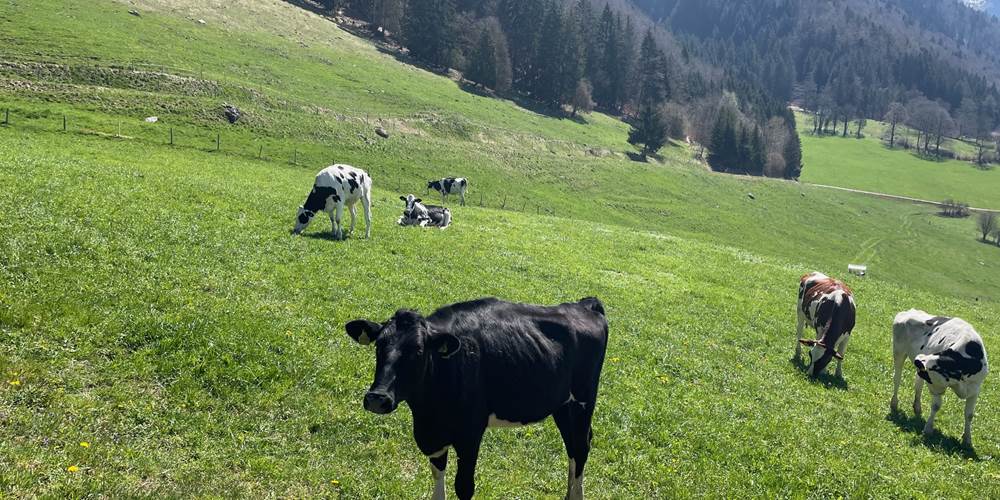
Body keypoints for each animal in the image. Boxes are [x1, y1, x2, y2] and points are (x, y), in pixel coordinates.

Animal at [345, 297, 609, 500]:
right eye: (379, 345)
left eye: (418, 350)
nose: (377, 398)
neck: (428, 411)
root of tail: (583, 304)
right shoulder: (433, 437)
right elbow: (438, 477)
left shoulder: (470, 434)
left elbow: (464, 487)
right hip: (563, 406)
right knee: (572, 448)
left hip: (584, 402)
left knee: (581, 447)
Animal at [890, 309, 989, 447]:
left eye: (927, 374)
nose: (918, 361)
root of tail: (908, 311)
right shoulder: (938, 387)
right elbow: (936, 406)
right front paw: (928, 429)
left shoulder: (975, 389)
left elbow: (969, 414)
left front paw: (967, 440)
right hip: (898, 352)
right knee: (897, 379)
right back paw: (894, 403)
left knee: (918, 385)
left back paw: (917, 407)